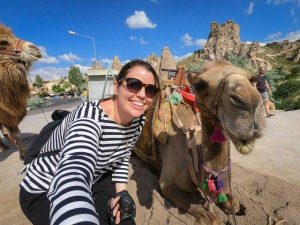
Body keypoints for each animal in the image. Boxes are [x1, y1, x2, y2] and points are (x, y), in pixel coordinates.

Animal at [135, 60, 266, 224]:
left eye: (253, 79)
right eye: (200, 84)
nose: (250, 101)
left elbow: (233, 205)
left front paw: (237, 207)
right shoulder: (167, 184)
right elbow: (213, 219)